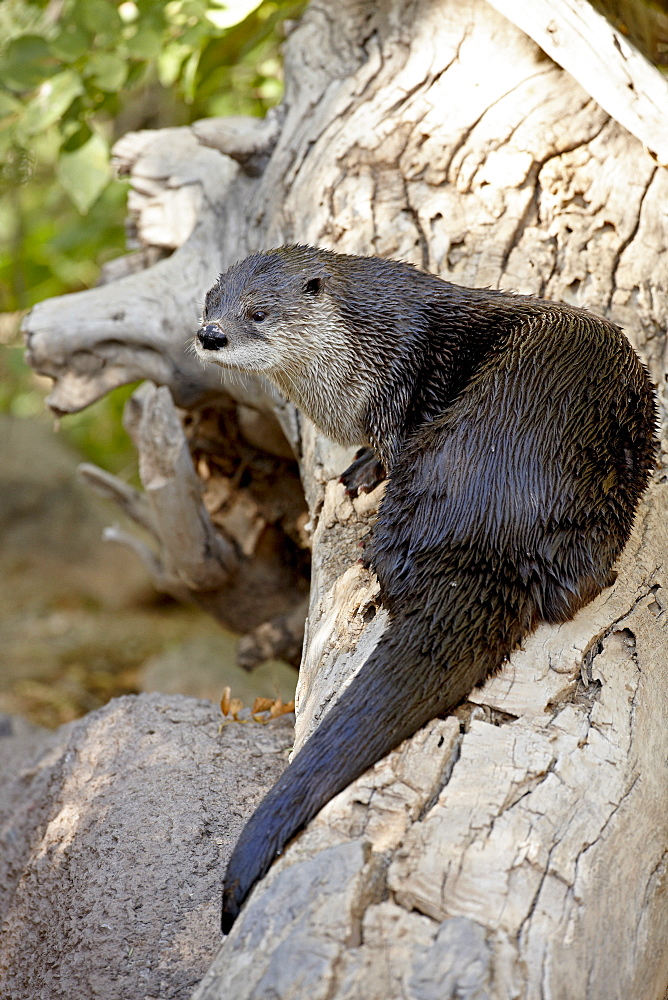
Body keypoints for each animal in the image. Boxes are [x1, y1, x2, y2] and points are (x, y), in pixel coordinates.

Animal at [193, 242, 656, 928]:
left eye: (257, 311)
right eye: (209, 300)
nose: (210, 333)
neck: (364, 355)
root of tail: (485, 519)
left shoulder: (399, 396)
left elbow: (386, 446)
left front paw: (362, 469)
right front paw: (356, 469)